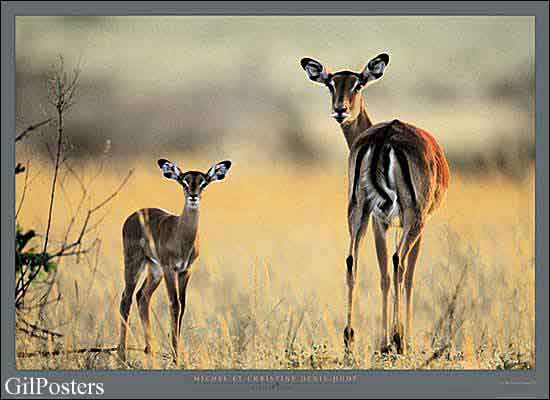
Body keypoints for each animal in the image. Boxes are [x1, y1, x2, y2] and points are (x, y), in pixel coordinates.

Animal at [118, 159, 233, 362]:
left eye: (203, 183)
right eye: (184, 182)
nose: (193, 196)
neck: (181, 235)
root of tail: (133, 216)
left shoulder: (185, 270)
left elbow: (183, 305)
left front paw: (176, 352)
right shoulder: (170, 269)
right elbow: (174, 305)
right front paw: (175, 355)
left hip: (154, 270)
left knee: (142, 296)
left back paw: (150, 349)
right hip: (134, 264)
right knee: (126, 299)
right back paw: (123, 355)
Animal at [304, 53, 450, 354]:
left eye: (357, 84)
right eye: (330, 84)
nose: (340, 109)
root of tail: (386, 136)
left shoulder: (377, 220)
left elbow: (382, 276)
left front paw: (382, 340)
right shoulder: (417, 222)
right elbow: (407, 276)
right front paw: (399, 338)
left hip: (357, 210)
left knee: (352, 260)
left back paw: (349, 337)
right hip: (413, 218)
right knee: (399, 262)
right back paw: (397, 339)